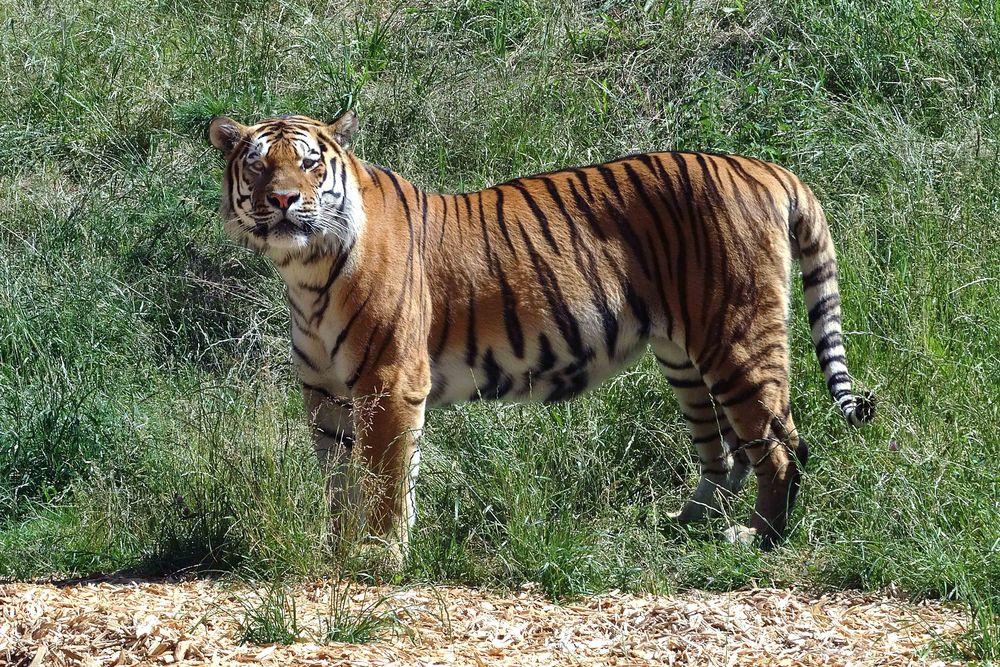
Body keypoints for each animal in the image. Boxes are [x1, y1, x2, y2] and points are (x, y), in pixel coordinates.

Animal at [207, 109, 872, 564]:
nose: (283, 199)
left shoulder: (388, 384)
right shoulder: (326, 397)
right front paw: (338, 551)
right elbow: (339, 482)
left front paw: (380, 556)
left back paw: (757, 538)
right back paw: (687, 522)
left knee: (783, 447)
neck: (306, 273)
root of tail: (765, 167)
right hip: (685, 354)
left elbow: (385, 479)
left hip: (737, 337)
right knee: (726, 450)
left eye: (309, 163)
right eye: (258, 164)